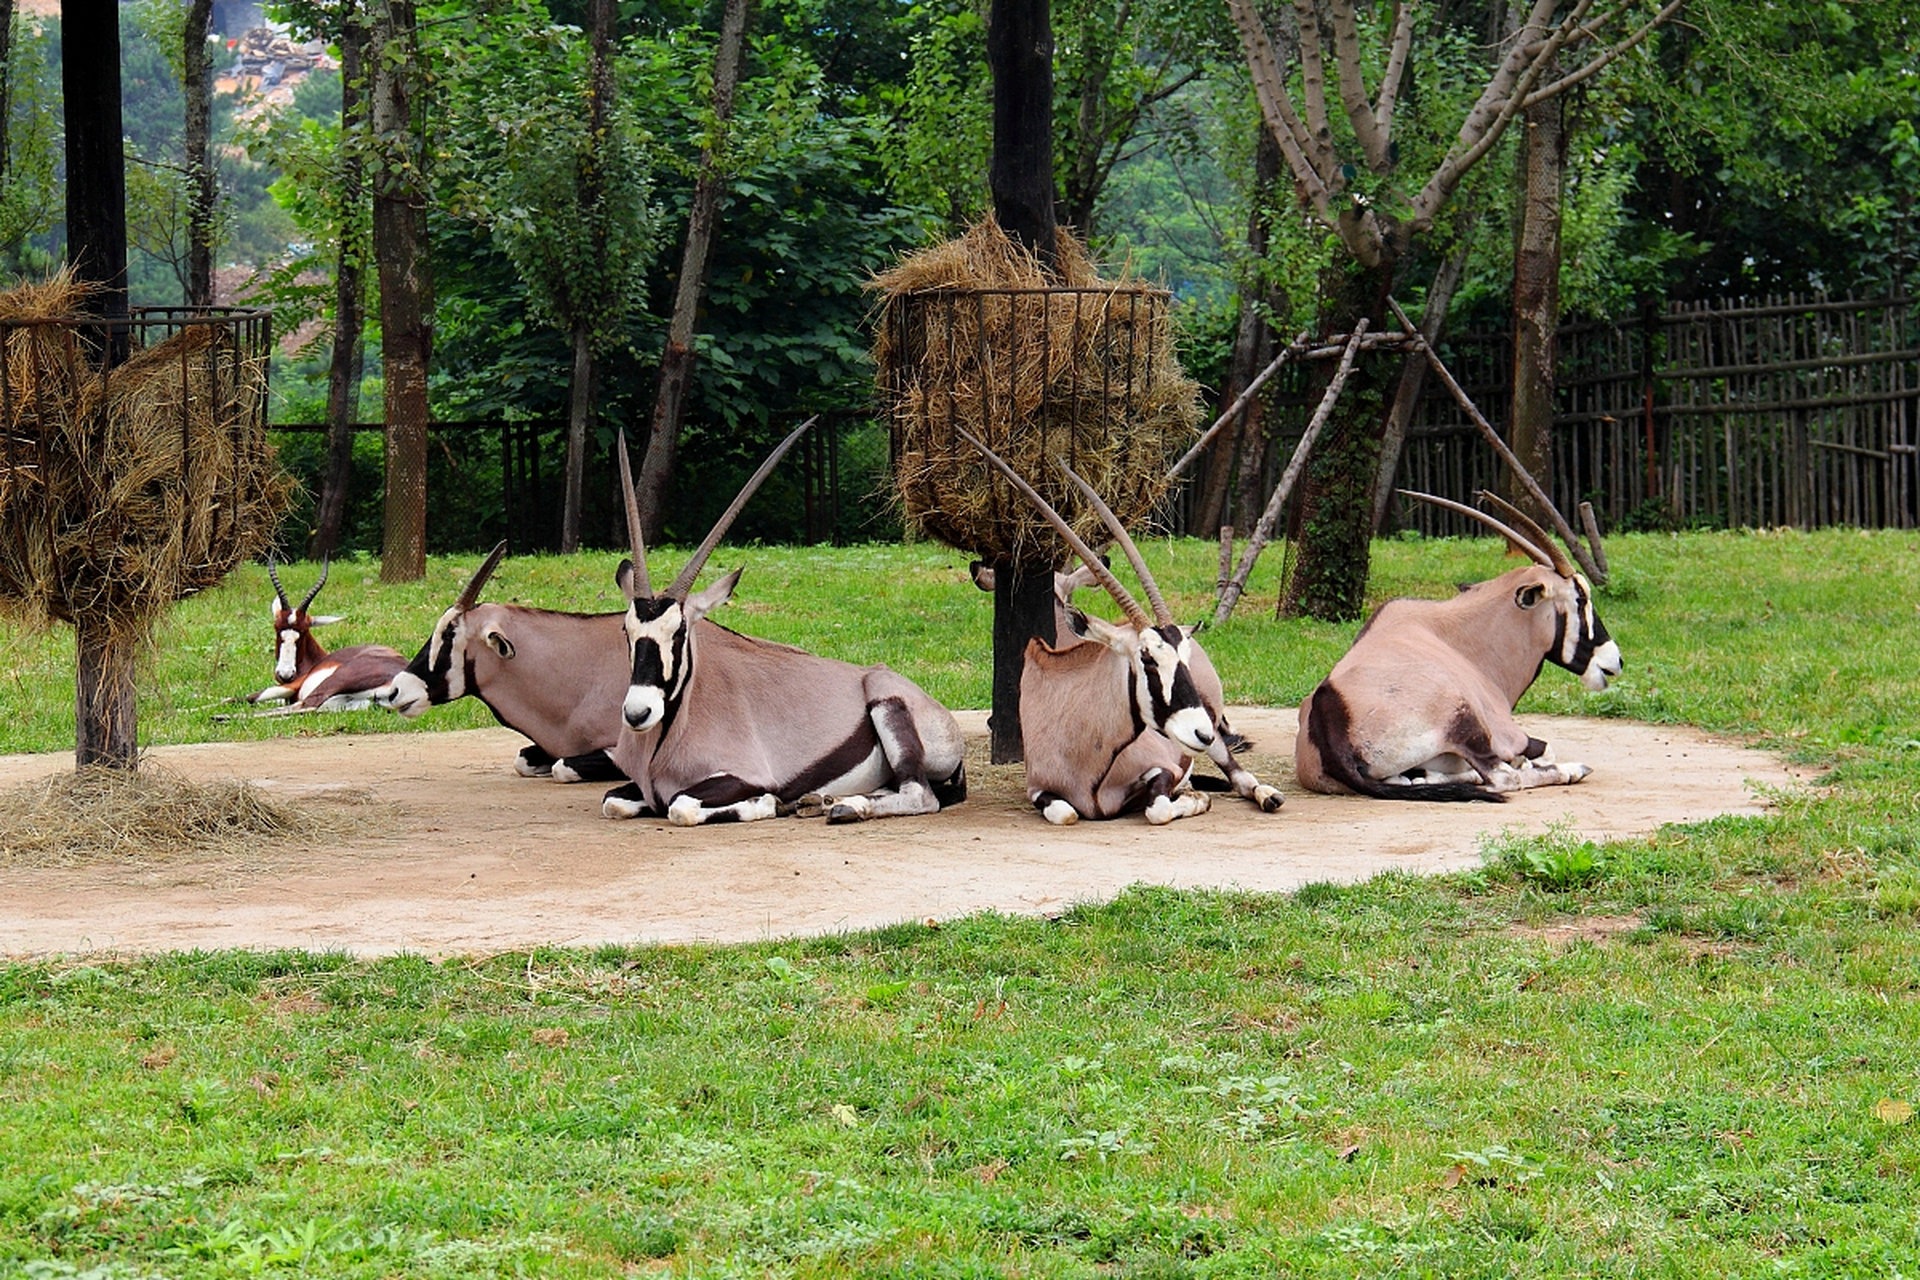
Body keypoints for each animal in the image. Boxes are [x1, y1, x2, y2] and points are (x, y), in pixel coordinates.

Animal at [243, 556, 408, 717]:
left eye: (303, 631)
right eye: (277, 628)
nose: (285, 675)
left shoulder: (293, 685)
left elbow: (248, 697)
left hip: (332, 683)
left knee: (306, 705)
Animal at [602, 418, 967, 821]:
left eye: (679, 631)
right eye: (627, 630)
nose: (637, 713)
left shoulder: (742, 776)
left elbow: (681, 806)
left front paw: (768, 802)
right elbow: (613, 802)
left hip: (888, 709)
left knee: (920, 794)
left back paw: (845, 805)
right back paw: (821, 801)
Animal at [956, 429, 1274, 825]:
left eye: (1181, 657)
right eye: (1147, 659)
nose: (1200, 731)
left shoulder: (1163, 768)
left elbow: (1158, 807)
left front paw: (1195, 798)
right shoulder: (1038, 790)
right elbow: (1066, 813)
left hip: (1215, 743)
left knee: (1241, 778)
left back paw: (1266, 795)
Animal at [1297, 491, 1628, 802]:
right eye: (1580, 598)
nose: (1616, 660)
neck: (1462, 641)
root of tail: (1329, 718)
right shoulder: (1510, 735)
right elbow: (1541, 753)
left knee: (1412, 781)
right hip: (1464, 722)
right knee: (1503, 778)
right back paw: (1571, 769)